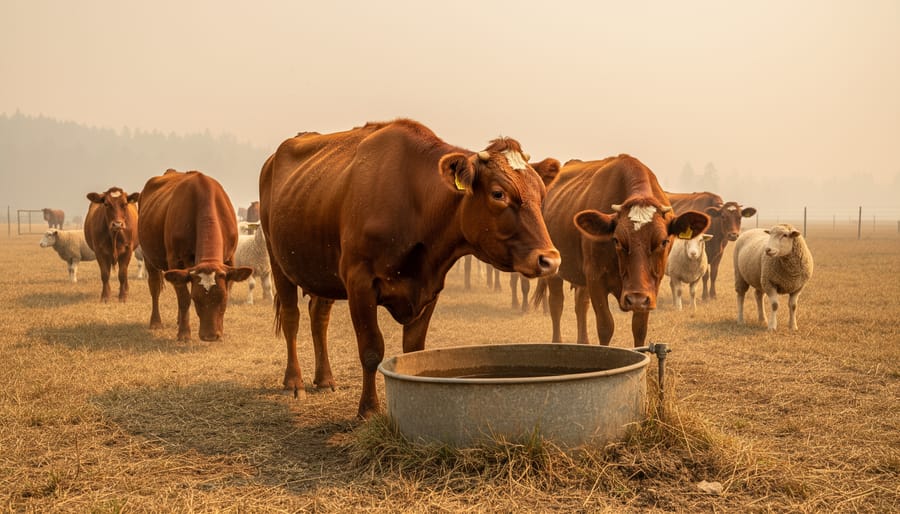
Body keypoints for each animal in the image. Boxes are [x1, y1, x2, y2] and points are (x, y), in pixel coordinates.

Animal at [138, 169, 253, 342]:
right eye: (196, 299)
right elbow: (184, 298)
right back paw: (156, 322)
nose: (210, 336)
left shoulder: (230, 260)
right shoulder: (175, 260)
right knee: (155, 287)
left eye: (223, 299)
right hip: (149, 257)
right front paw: (184, 333)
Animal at [259, 119, 561, 418]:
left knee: (319, 317)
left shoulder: (430, 286)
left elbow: (414, 350)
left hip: (322, 268)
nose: (550, 259)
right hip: (277, 258)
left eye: (541, 195)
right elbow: (371, 349)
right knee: (291, 318)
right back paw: (294, 382)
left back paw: (324, 379)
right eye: (498, 194)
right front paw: (369, 409)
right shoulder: (359, 282)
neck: (414, 203)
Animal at [540, 155, 710, 346]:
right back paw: (557, 341)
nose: (636, 299)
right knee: (556, 304)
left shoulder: (649, 289)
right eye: (617, 240)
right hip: (555, 270)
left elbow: (640, 328)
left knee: (581, 305)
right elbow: (605, 325)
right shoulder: (595, 278)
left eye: (664, 242)